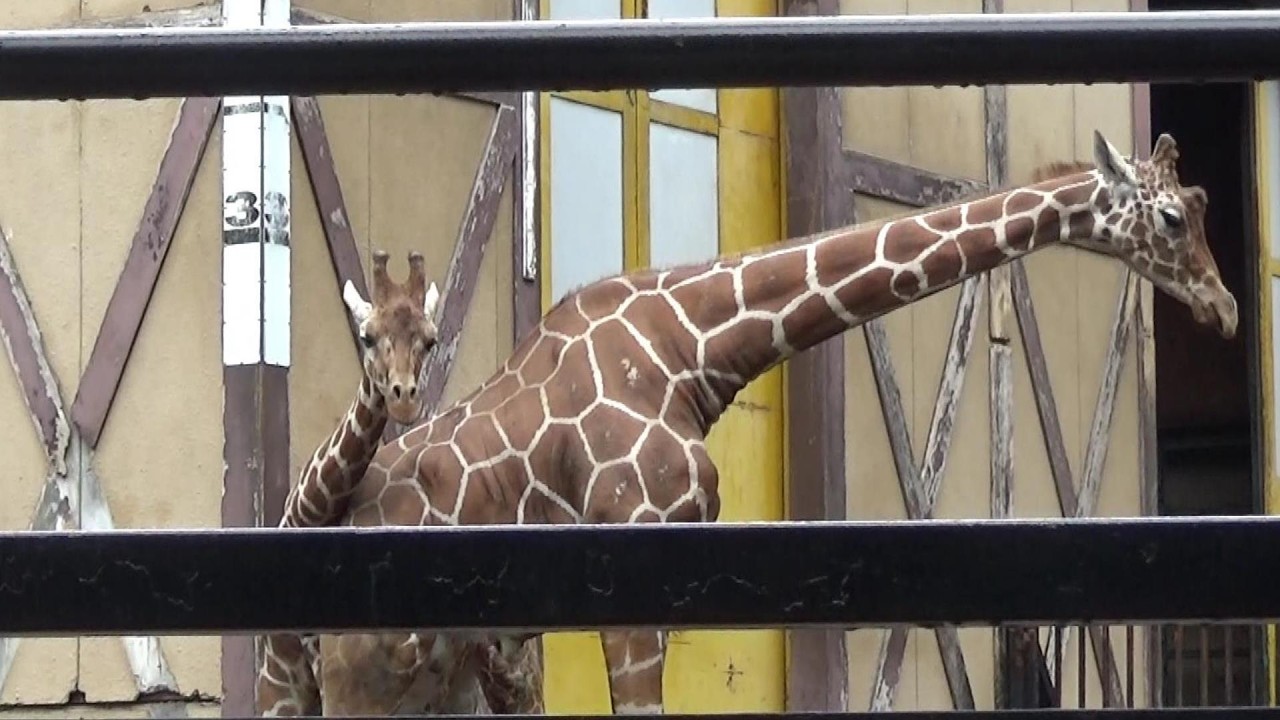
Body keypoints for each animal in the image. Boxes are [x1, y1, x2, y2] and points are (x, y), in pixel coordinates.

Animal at [311, 129, 1238, 716]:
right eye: (1171, 217)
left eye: (1198, 207)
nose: (1225, 308)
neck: (686, 349)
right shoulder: (625, 574)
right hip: (365, 668)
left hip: (448, 665)